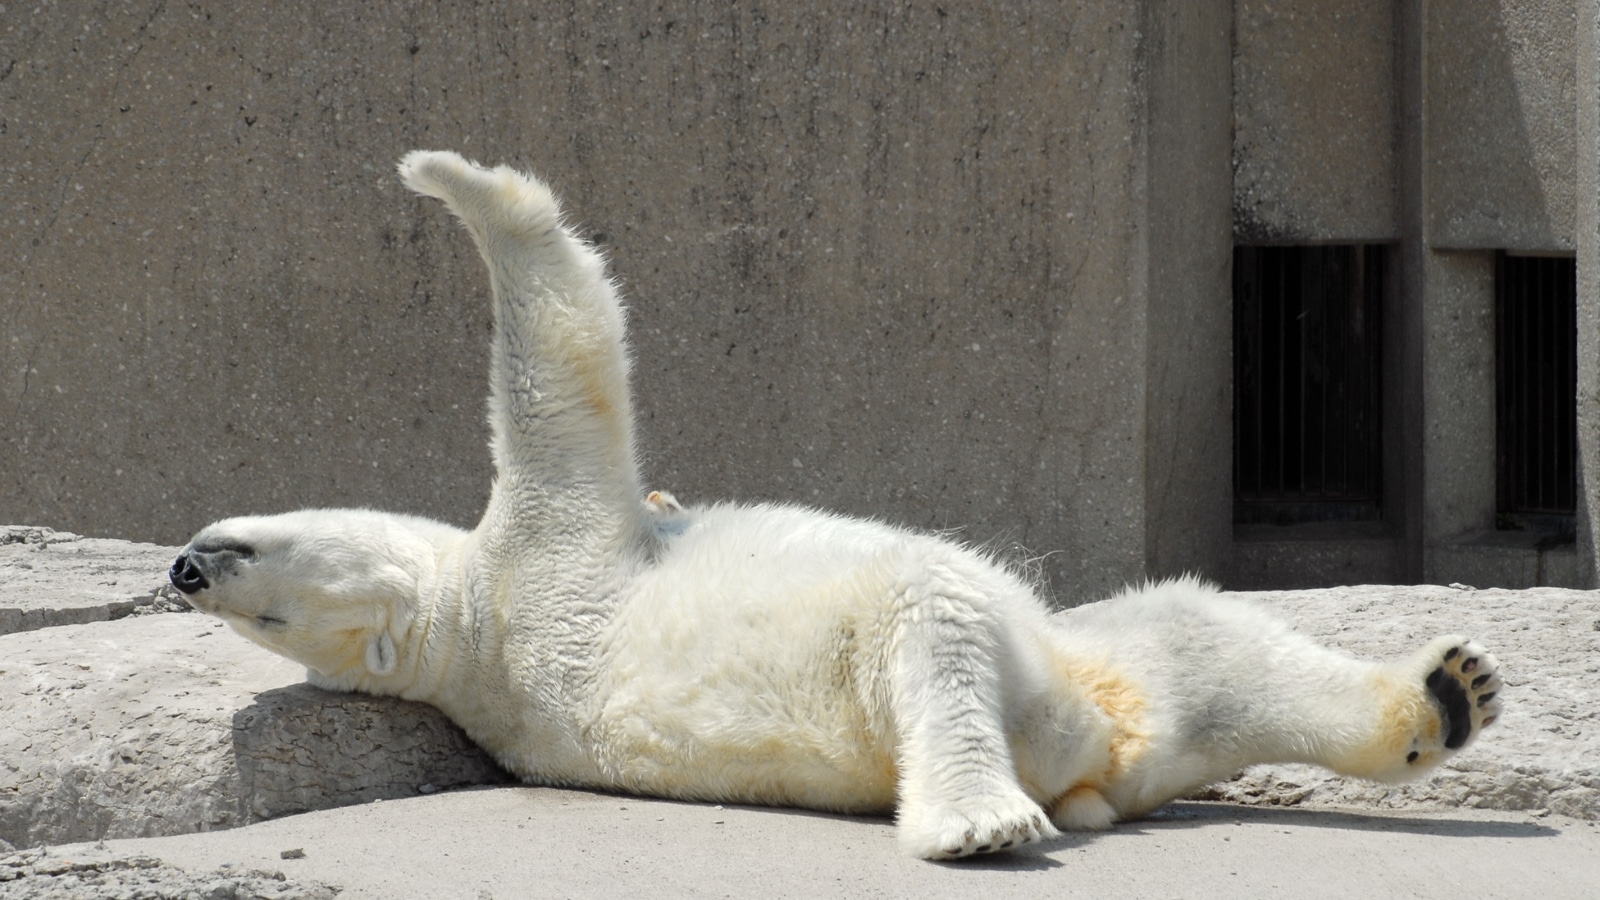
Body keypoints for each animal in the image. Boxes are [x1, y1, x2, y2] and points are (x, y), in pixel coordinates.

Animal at [168, 150, 1504, 858]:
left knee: (1200, 645)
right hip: (918, 676)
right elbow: (563, 361)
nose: (183, 566)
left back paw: (1445, 692)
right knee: (939, 635)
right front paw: (458, 185)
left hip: (1110, 687)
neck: (469, 629)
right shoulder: (546, 548)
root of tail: (1087, 759)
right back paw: (981, 821)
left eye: (236, 554)